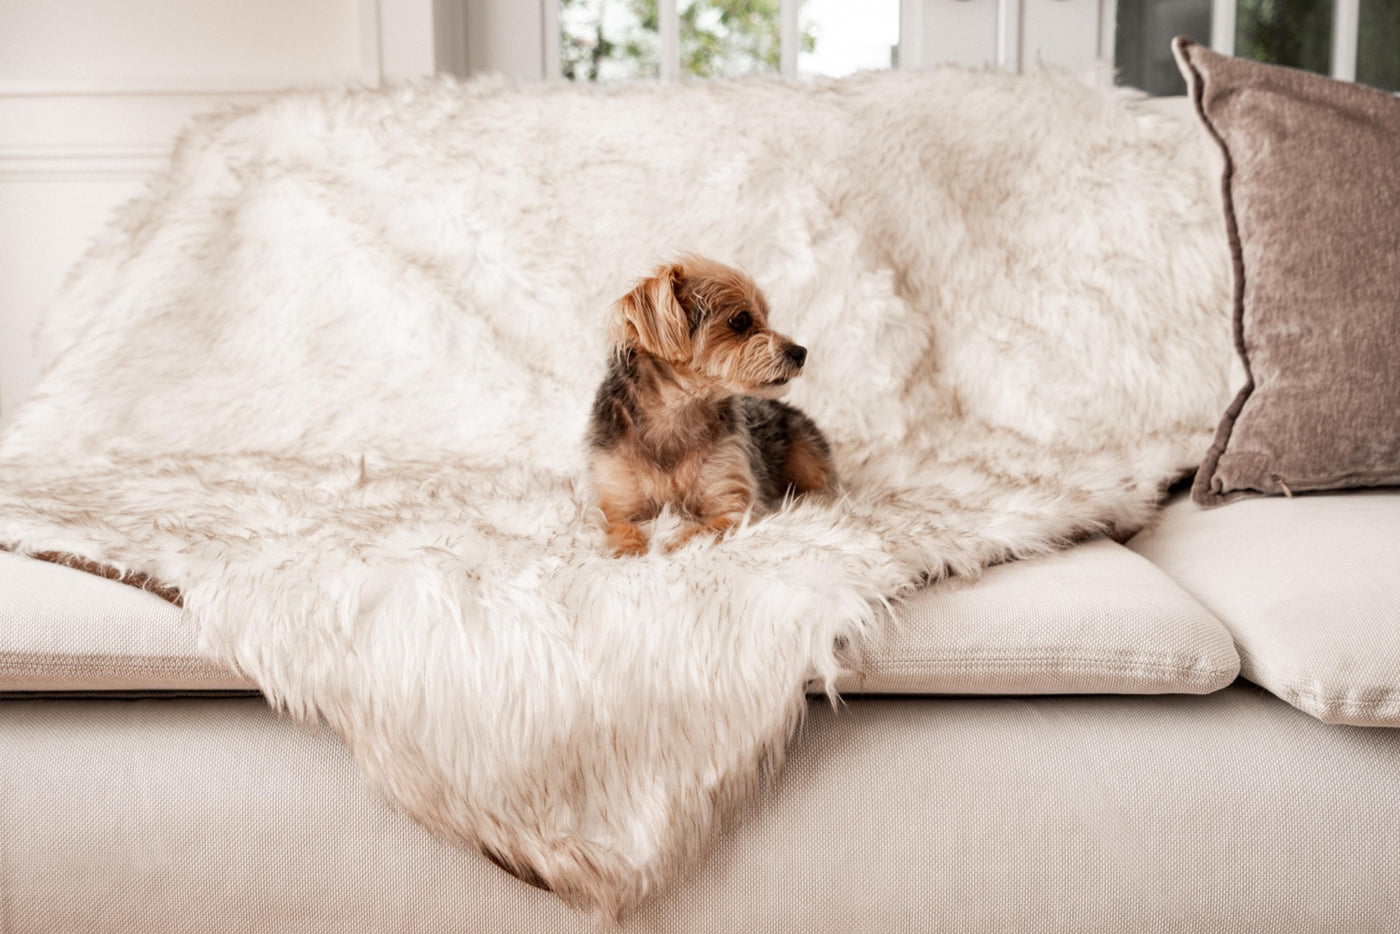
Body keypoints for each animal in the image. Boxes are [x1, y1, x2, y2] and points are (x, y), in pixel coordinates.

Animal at [588, 256, 834, 560]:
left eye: (766, 316)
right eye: (740, 320)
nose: (800, 352)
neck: (677, 412)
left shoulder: (731, 499)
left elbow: (704, 530)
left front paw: (672, 546)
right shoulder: (616, 500)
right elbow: (620, 525)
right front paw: (630, 551)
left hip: (806, 451)